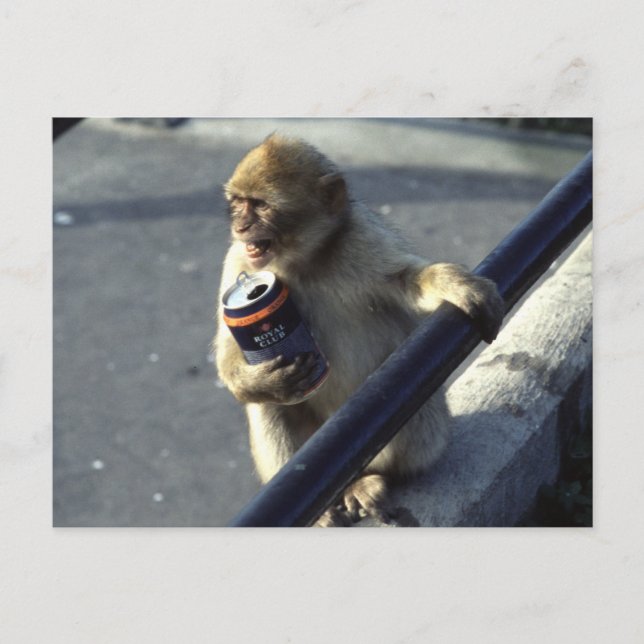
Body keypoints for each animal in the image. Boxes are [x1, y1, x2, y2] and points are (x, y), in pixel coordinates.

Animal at [214, 134, 504, 526]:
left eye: (260, 206)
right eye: (238, 203)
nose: (241, 227)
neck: (304, 262)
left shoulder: (363, 238)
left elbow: (407, 280)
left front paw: (457, 285)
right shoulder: (237, 262)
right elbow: (231, 350)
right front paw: (261, 381)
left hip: (427, 437)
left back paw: (366, 480)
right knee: (269, 407)